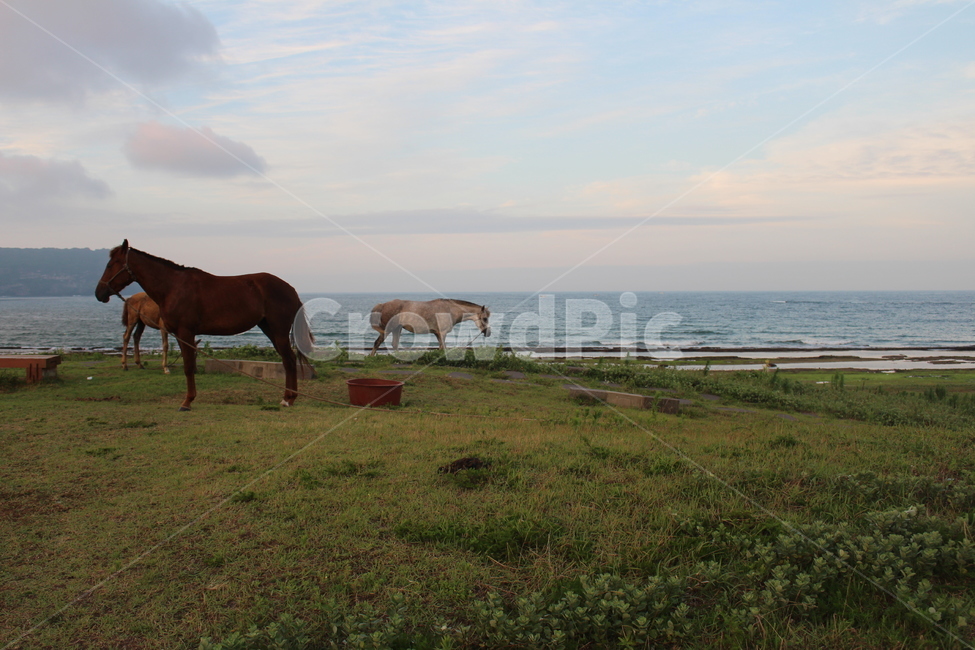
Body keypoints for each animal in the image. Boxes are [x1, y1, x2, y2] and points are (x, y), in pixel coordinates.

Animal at [95, 240, 313, 411]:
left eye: (111, 264)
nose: (99, 292)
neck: (173, 287)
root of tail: (291, 289)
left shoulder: (185, 333)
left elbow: (188, 367)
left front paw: (187, 402)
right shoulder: (181, 335)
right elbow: (188, 365)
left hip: (278, 330)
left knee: (289, 360)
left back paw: (288, 400)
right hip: (269, 329)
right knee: (287, 360)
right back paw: (287, 398)